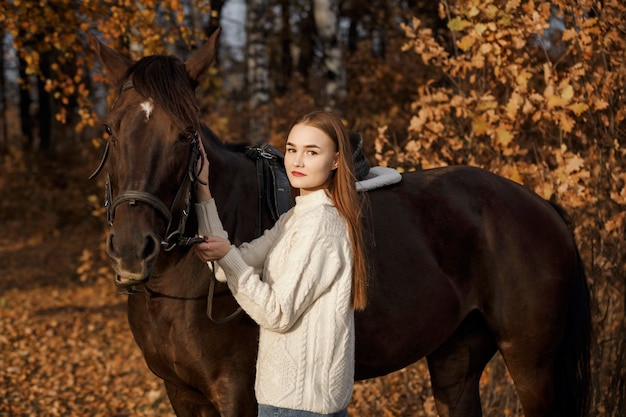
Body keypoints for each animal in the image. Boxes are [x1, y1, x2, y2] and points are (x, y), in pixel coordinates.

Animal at [89, 30, 588, 416]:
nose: (132, 249)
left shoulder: (236, 392)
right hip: (455, 361)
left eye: (186, 134)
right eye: (111, 129)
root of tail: (543, 206)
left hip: (530, 363)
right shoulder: (181, 393)